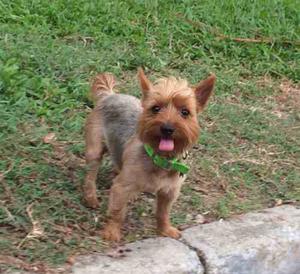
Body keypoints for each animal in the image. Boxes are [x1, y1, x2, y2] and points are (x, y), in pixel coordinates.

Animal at [83, 68, 214, 242]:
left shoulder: (169, 192)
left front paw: (165, 230)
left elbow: (163, 213)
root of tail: (109, 94)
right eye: (155, 109)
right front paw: (111, 232)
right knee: (90, 175)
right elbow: (117, 212)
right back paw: (91, 198)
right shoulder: (121, 187)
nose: (167, 128)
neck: (160, 159)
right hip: (94, 150)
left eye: (185, 112)